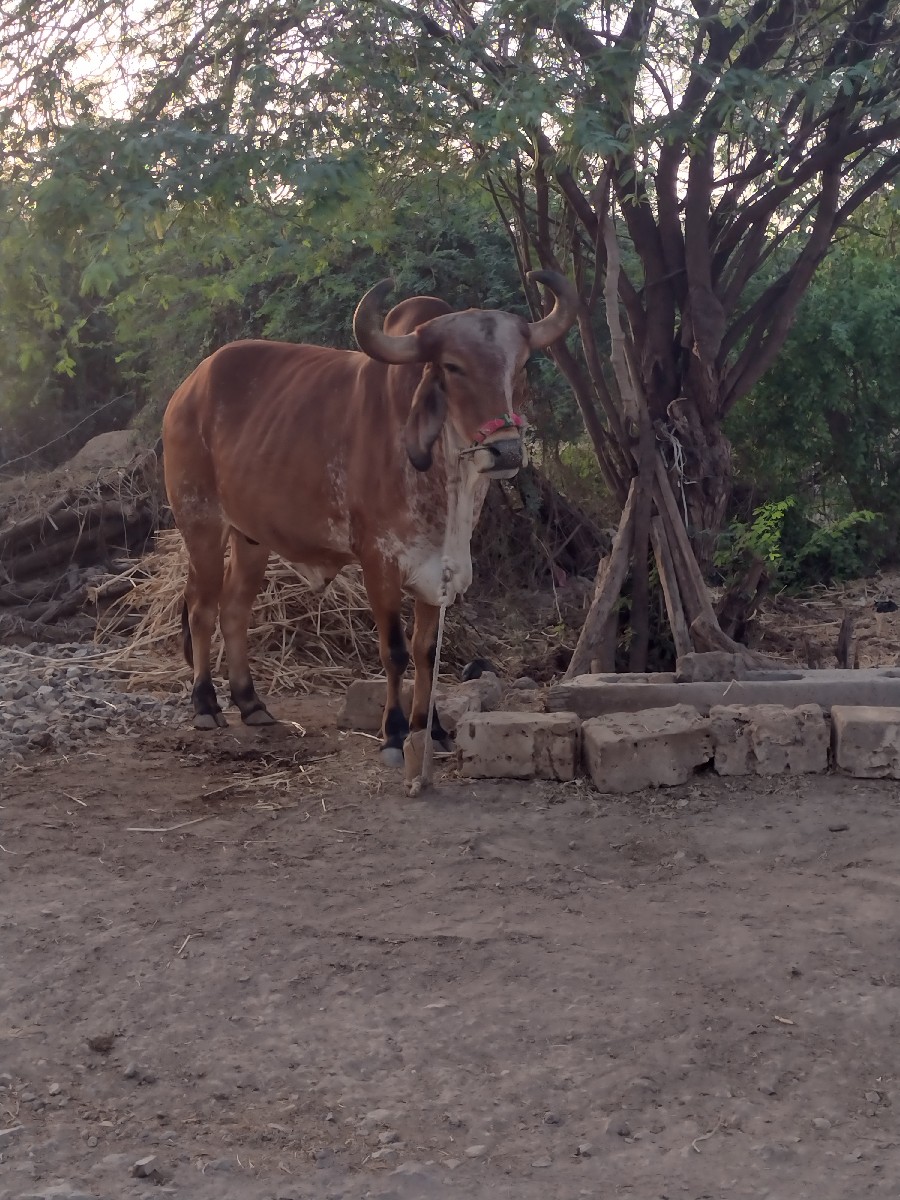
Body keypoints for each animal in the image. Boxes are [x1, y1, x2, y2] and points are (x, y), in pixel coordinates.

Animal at [161, 270, 578, 762]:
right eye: (453, 367)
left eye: (520, 366)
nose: (506, 450)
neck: (448, 483)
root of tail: (188, 388)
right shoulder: (379, 562)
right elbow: (395, 651)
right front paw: (395, 733)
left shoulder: (439, 568)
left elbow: (427, 651)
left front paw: (431, 730)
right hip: (200, 524)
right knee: (202, 609)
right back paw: (206, 704)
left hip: (251, 540)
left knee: (234, 610)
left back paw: (250, 702)